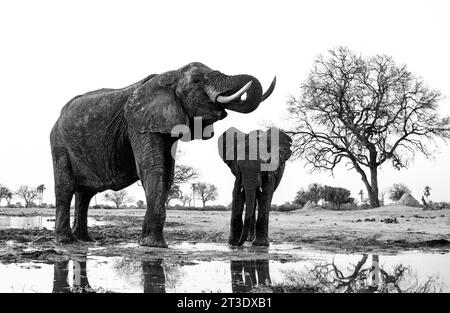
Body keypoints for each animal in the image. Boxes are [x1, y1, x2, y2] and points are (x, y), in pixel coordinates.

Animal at [49, 61, 274, 246]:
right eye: (197, 80)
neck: (170, 75)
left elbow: (168, 174)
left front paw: (144, 241)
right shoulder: (138, 124)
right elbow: (154, 169)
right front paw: (153, 245)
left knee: (85, 194)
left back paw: (85, 240)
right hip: (59, 143)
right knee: (66, 187)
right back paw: (66, 241)